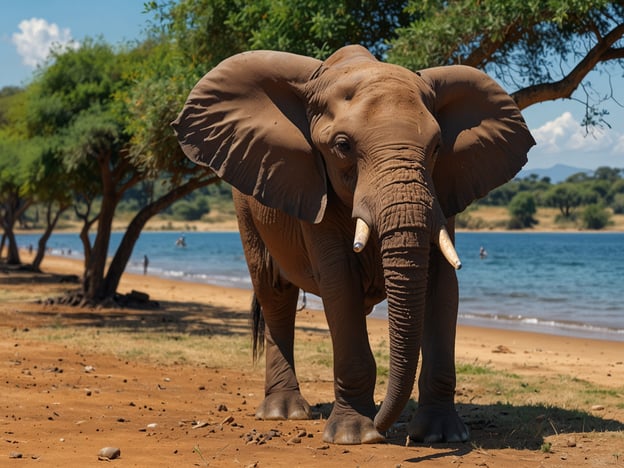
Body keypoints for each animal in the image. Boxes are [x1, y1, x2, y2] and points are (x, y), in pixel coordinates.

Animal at [174, 45, 536, 444]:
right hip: (245, 210)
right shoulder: (314, 187)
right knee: (274, 294)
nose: (386, 426)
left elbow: (442, 283)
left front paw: (441, 437)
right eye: (342, 146)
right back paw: (284, 413)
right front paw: (357, 435)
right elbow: (339, 282)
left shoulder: (443, 191)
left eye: (437, 147)